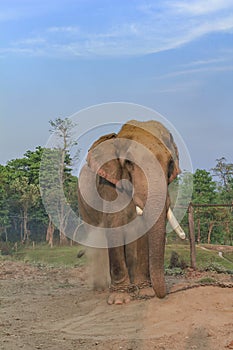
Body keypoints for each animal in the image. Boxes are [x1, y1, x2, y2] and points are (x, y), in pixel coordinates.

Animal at [77, 119, 185, 304]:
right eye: (128, 163)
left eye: (170, 163)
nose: (162, 294)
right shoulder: (109, 184)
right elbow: (115, 224)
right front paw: (119, 299)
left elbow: (141, 230)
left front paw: (146, 293)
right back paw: (101, 287)